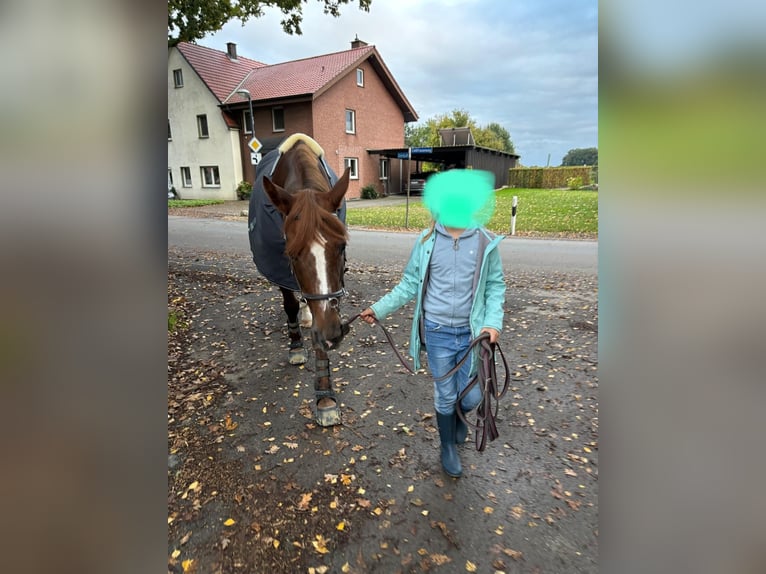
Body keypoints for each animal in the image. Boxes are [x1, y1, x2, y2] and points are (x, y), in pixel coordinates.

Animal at [249, 135, 352, 428]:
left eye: (341, 247)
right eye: (292, 254)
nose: (333, 334)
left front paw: (325, 397)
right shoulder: (280, 267)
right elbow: (291, 305)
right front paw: (296, 345)